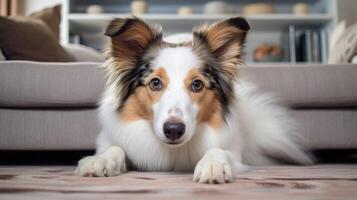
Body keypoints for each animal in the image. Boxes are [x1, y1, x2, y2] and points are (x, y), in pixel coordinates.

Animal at [75, 17, 312, 184]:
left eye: (197, 84)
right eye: (155, 83)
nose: (173, 130)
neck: (172, 151)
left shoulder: (234, 151)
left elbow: (218, 150)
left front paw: (213, 165)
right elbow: (115, 148)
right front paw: (99, 161)